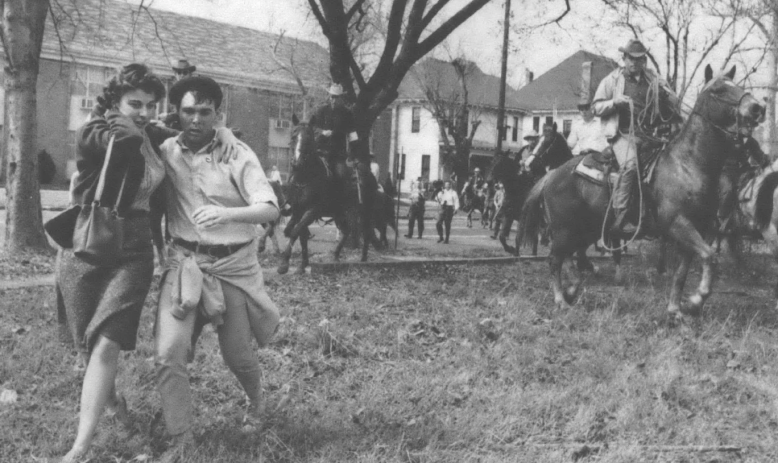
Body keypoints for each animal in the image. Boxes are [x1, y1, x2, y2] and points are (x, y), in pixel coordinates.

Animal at [278, 117, 378, 276]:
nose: (296, 163)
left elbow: (295, 231)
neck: (305, 177)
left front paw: (284, 264)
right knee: (347, 230)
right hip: (340, 213)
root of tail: (369, 174)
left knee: (366, 231)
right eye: (293, 137)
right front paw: (302, 265)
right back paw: (336, 255)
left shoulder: (312, 211)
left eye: (309, 138)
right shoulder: (298, 210)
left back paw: (363, 258)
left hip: (364, 210)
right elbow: (299, 235)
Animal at [520, 66, 760, 316]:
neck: (687, 164)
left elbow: (683, 272)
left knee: (568, 255)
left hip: (584, 228)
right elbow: (710, 257)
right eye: (719, 90)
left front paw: (676, 309)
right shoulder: (678, 223)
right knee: (555, 259)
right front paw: (696, 300)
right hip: (565, 228)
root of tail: (551, 175)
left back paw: (572, 288)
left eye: (738, 86)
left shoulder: (696, 229)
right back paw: (561, 299)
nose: (756, 107)